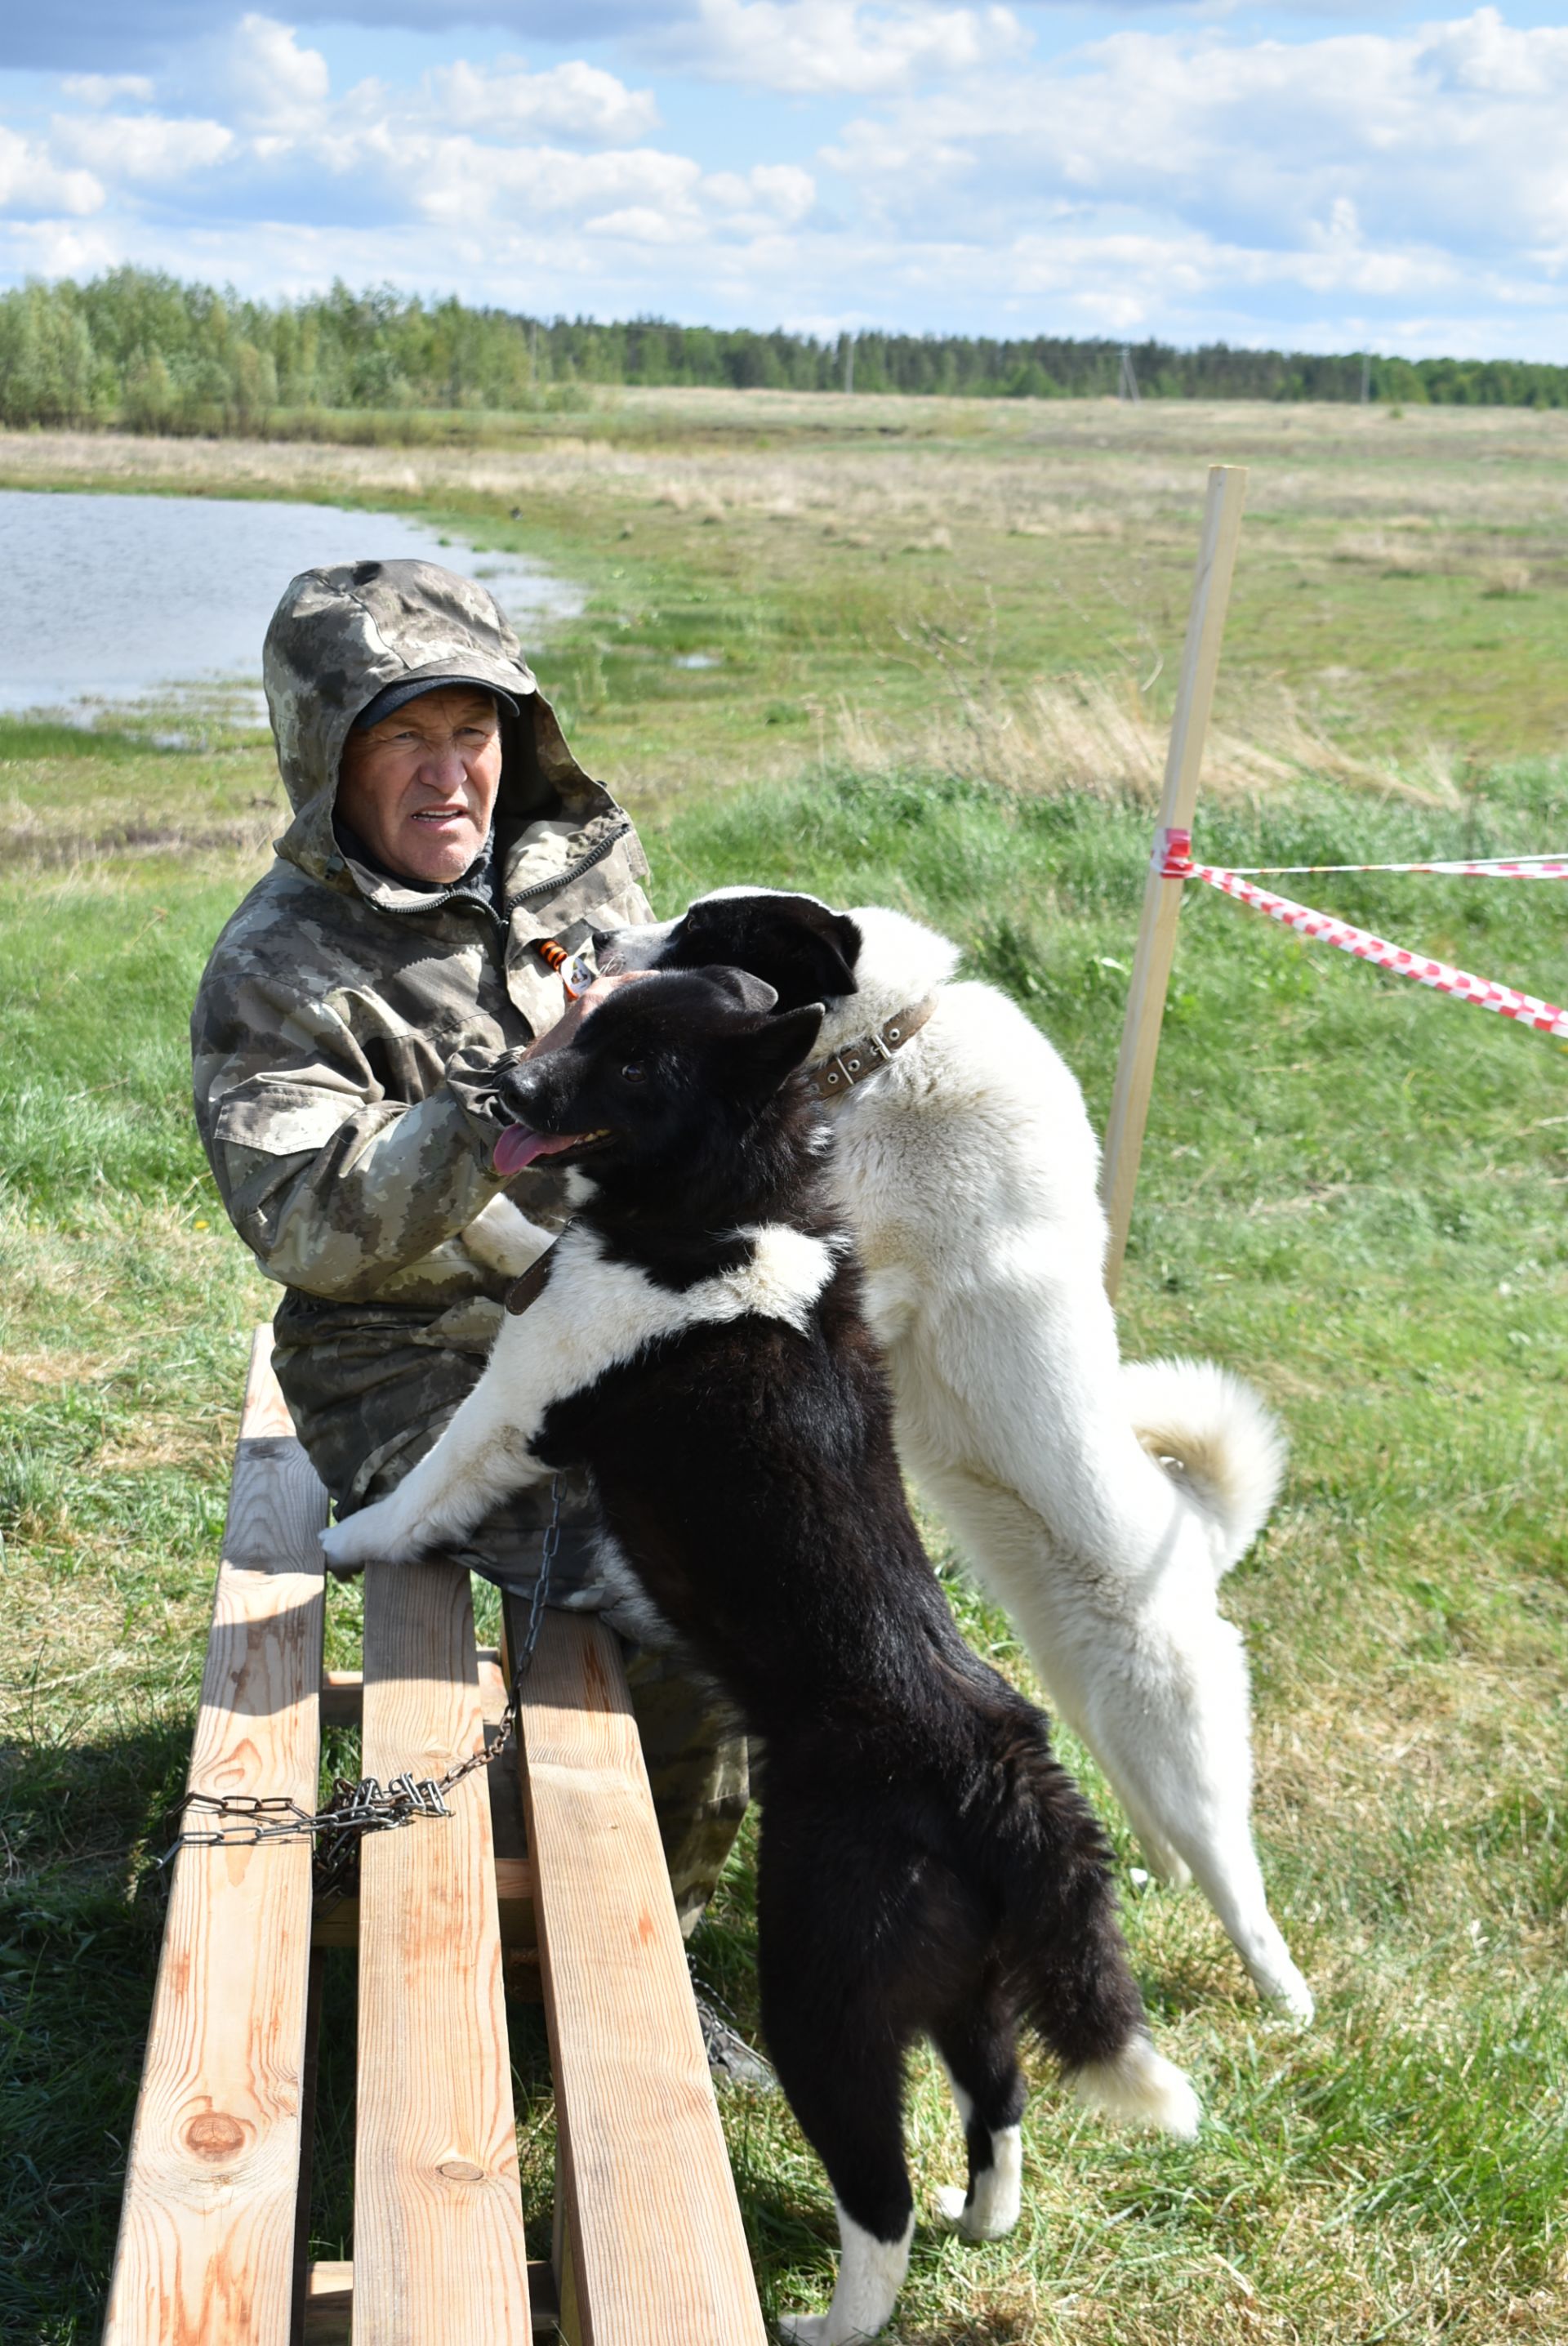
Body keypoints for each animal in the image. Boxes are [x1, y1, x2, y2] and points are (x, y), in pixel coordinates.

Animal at [323, 961, 1190, 2336]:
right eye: (586, 1023)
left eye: (635, 1064)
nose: (499, 1087)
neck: (729, 1200)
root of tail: (998, 1767)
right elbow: (512, 1242)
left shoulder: (520, 1398)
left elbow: (428, 1484)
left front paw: (347, 1537)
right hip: (965, 1983)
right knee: (997, 2100)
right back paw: (982, 2218)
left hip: (825, 1999)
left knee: (880, 2194)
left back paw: (834, 2316)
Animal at [593, 886, 1312, 2027]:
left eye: (709, 933)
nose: (592, 943)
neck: (888, 1050)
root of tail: (1195, 1538)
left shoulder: (860, 1252)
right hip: (1099, 1704)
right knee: (1167, 1835)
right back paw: (1151, 1878)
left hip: (1178, 1740)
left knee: (1237, 1877)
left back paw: (1287, 1996)